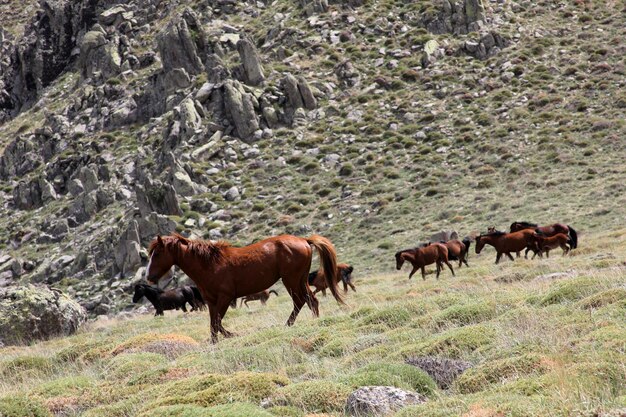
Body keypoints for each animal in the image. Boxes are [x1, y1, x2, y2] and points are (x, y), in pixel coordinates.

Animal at [144, 232, 344, 342]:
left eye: (158, 253)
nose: (149, 277)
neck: (210, 265)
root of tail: (304, 240)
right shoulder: (211, 301)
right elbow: (213, 323)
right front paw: (217, 341)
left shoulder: (225, 297)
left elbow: (216, 323)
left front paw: (229, 336)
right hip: (300, 280)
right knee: (311, 300)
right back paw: (313, 321)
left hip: (291, 280)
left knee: (301, 301)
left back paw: (289, 325)